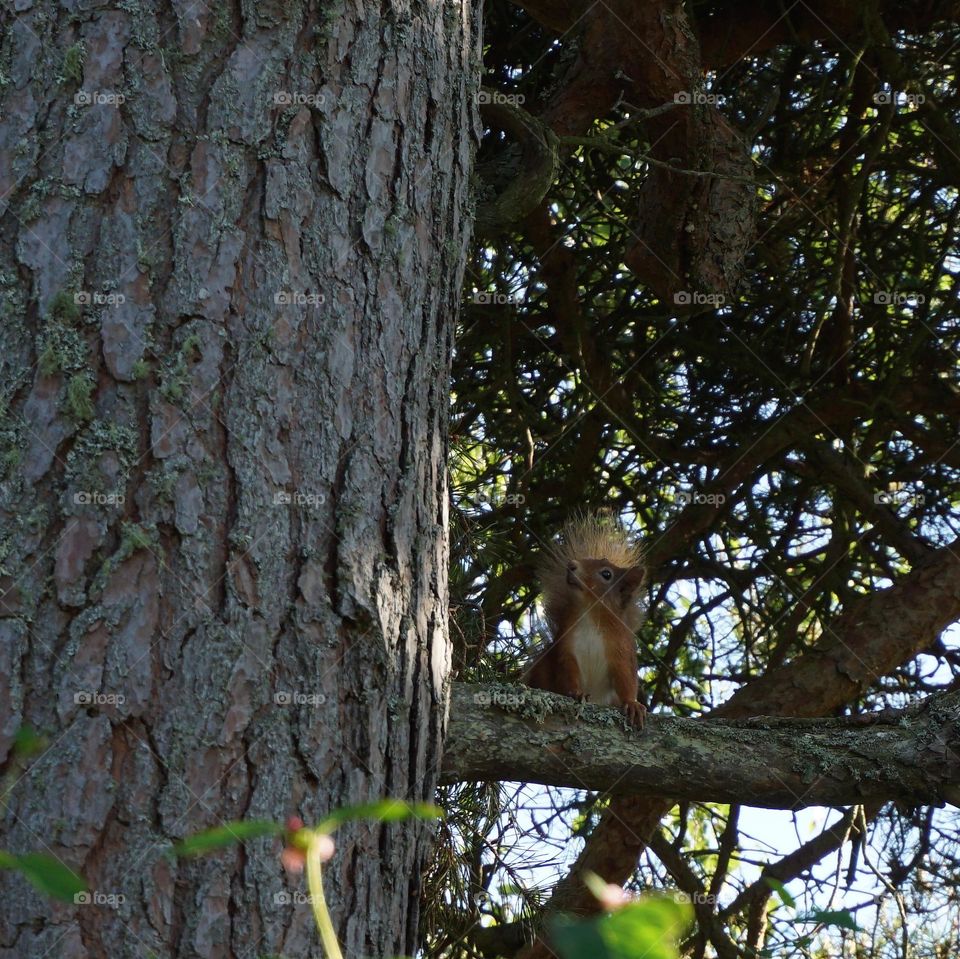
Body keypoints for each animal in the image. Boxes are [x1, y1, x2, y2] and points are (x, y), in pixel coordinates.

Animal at [520, 516, 648, 728]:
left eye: (606, 574)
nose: (571, 565)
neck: (590, 615)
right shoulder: (566, 648)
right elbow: (568, 671)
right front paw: (577, 693)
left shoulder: (621, 650)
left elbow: (626, 679)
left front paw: (633, 704)